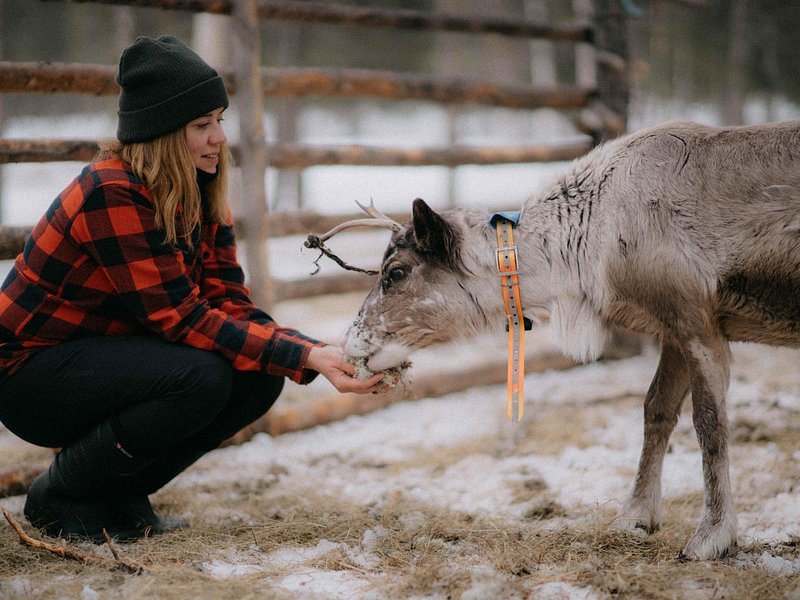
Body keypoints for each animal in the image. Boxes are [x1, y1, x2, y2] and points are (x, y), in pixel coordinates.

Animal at [307, 120, 800, 561]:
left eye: (395, 273)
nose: (348, 343)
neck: (585, 253)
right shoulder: (673, 329)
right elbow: (656, 411)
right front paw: (634, 517)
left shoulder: (697, 318)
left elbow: (709, 424)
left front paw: (713, 537)